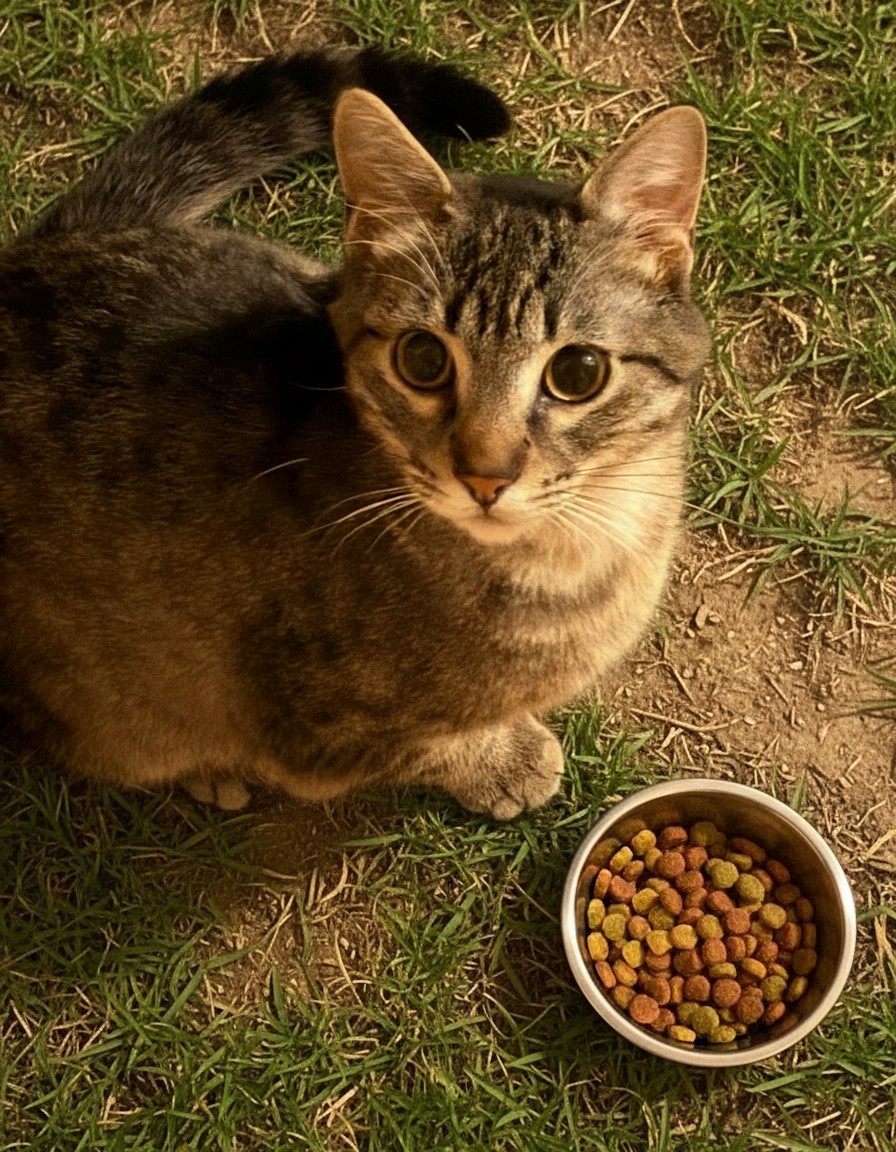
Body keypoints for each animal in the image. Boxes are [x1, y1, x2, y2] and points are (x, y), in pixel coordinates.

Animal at [0, 46, 710, 819]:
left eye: (578, 372)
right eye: (422, 361)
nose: (485, 474)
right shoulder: (315, 731)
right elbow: (434, 743)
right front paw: (501, 758)